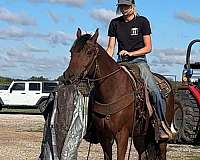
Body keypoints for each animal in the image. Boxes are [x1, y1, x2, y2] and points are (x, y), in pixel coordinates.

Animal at [63, 28, 173, 160]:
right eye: (71, 51)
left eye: (89, 52)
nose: (68, 77)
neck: (113, 91)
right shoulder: (104, 137)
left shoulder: (122, 136)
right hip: (140, 136)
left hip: (161, 140)